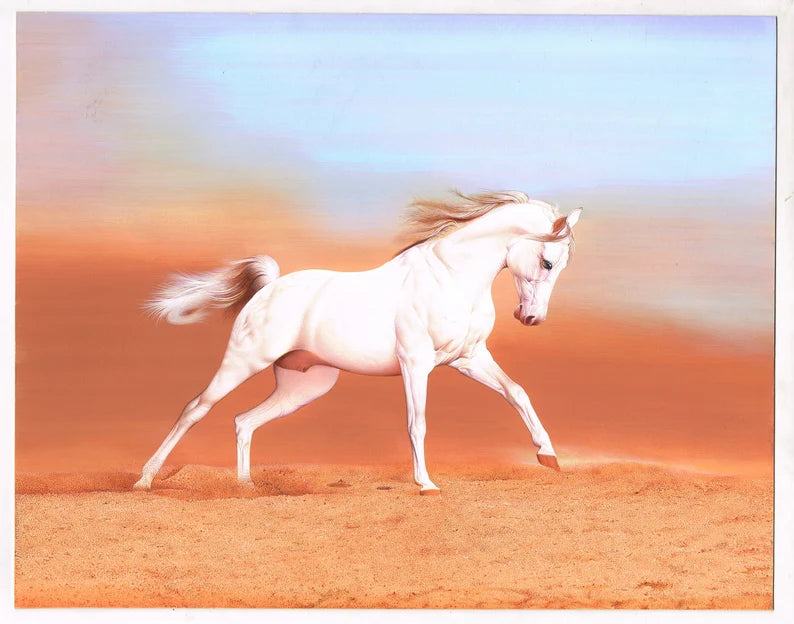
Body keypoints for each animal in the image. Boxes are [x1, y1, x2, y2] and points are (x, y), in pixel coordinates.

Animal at [133, 190, 582, 494]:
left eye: (561, 267)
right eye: (547, 262)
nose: (531, 318)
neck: (450, 278)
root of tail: (271, 287)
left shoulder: (468, 358)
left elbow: (517, 393)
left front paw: (548, 457)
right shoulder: (415, 363)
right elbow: (417, 423)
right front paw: (426, 484)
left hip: (304, 386)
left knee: (244, 422)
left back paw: (246, 487)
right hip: (243, 362)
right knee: (195, 409)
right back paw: (145, 479)